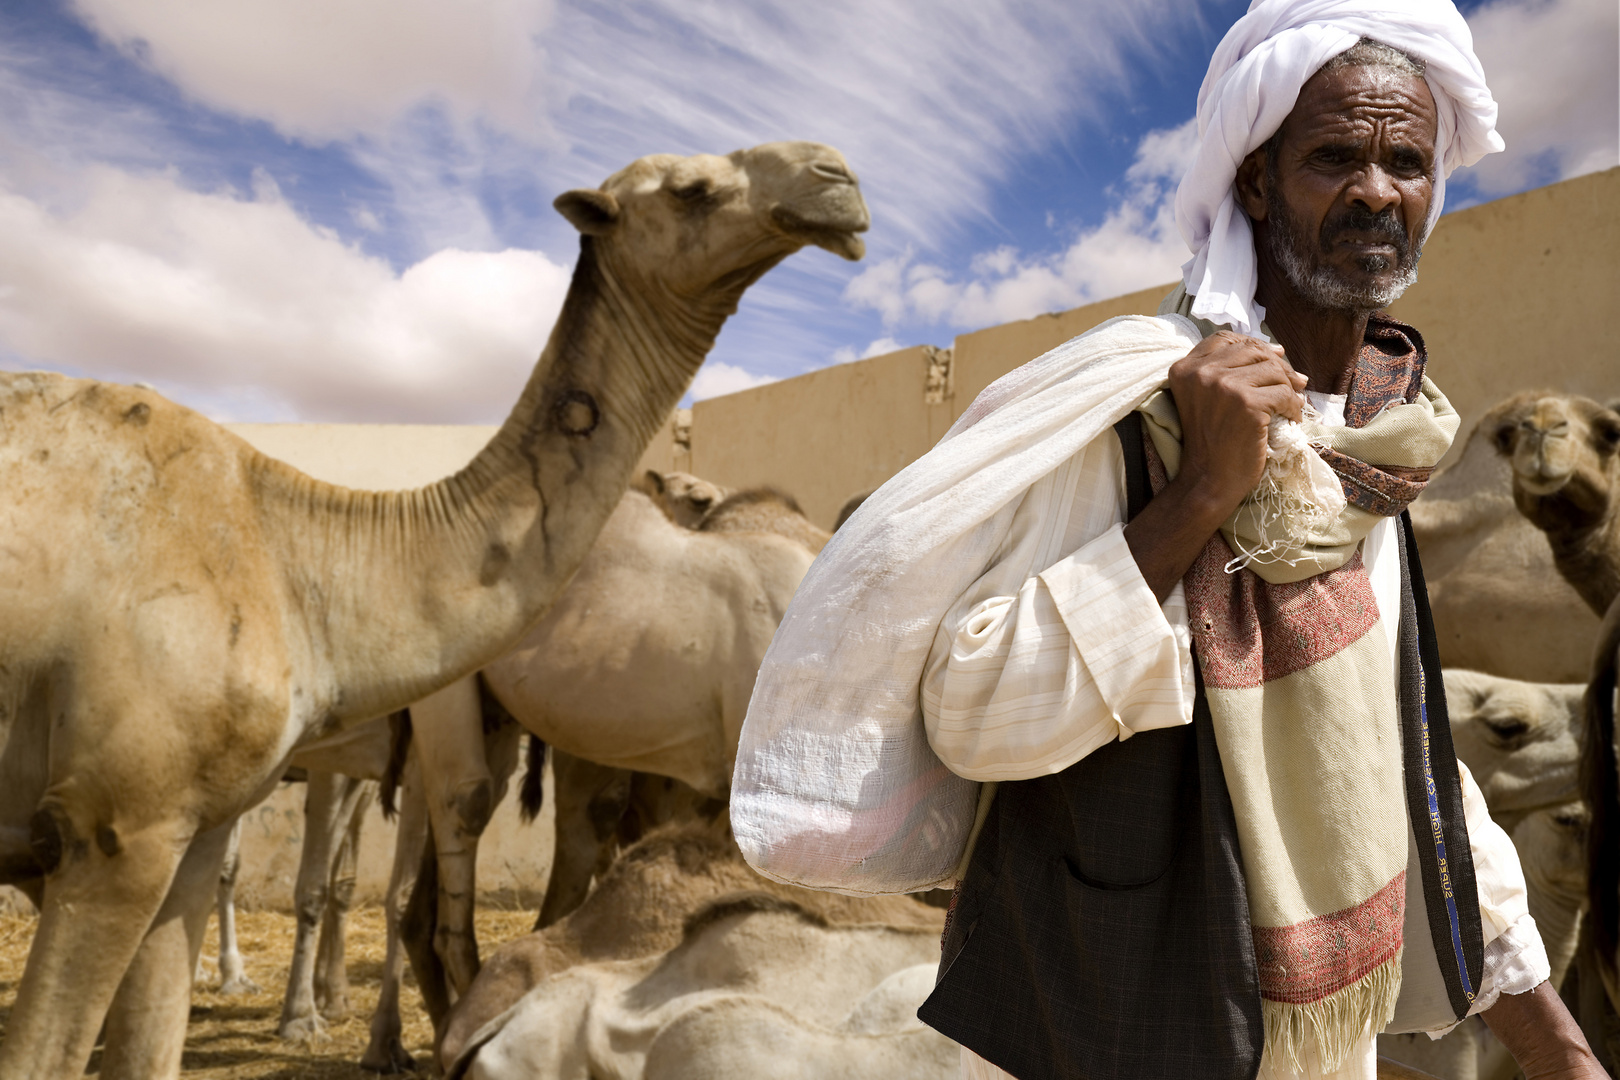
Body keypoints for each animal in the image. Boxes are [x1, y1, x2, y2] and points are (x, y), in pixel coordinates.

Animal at [0, 137, 868, 1080]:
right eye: (692, 189)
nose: (835, 175)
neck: (293, 548)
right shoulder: (119, 826)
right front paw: (315, 1019)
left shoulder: (188, 826)